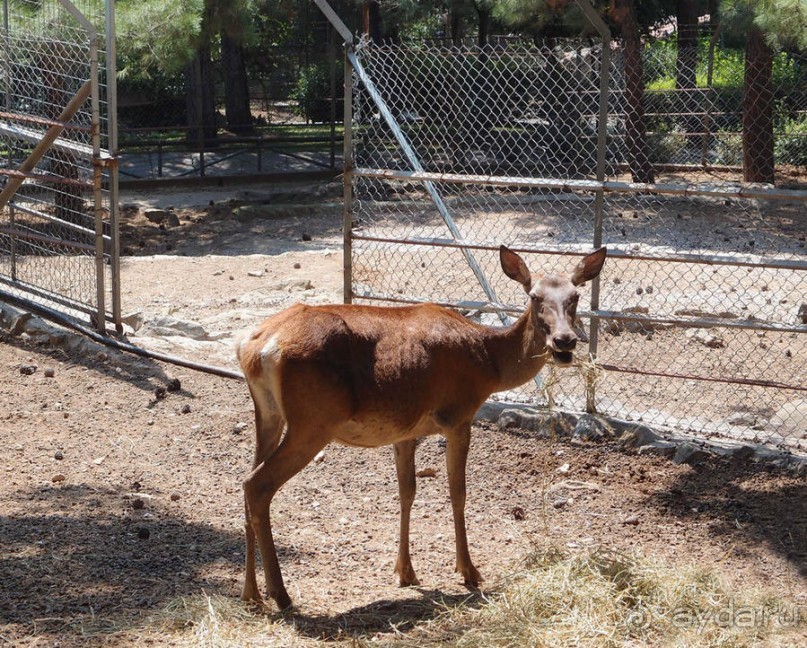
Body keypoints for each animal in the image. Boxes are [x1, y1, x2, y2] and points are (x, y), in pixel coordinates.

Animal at [237, 246, 608, 612]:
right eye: (534, 296)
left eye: (575, 296)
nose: (565, 341)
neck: (490, 364)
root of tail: (259, 348)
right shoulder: (458, 415)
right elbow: (458, 492)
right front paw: (469, 571)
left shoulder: (405, 431)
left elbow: (407, 492)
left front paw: (405, 572)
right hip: (313, 420)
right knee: (258, 484)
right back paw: (281, 594)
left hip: (269, 414)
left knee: (245, 480)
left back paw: (251, 593)